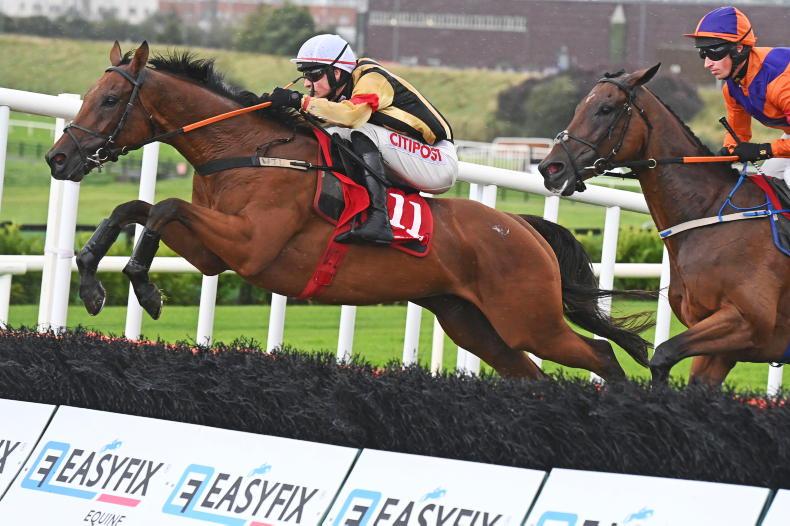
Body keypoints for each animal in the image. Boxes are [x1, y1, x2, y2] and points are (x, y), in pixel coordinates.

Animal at [44, 42, 653, 380]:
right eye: (86, 96)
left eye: (107, 100)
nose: (58, 157)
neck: (248, 150)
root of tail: (522, 228)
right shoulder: (216, 253)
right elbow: (135, 207)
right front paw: (94, 281)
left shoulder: (248, 245)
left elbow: (163, 207)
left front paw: (142, 286)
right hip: (475, 324)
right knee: (533, 374)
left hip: (530, 319)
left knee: (601, 354)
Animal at [538, 64, 790, 386]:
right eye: (579, 107)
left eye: (605, 109)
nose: (550, 169)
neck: (710, 214)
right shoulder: (720, 347)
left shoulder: (747, 322)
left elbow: (663, 355)